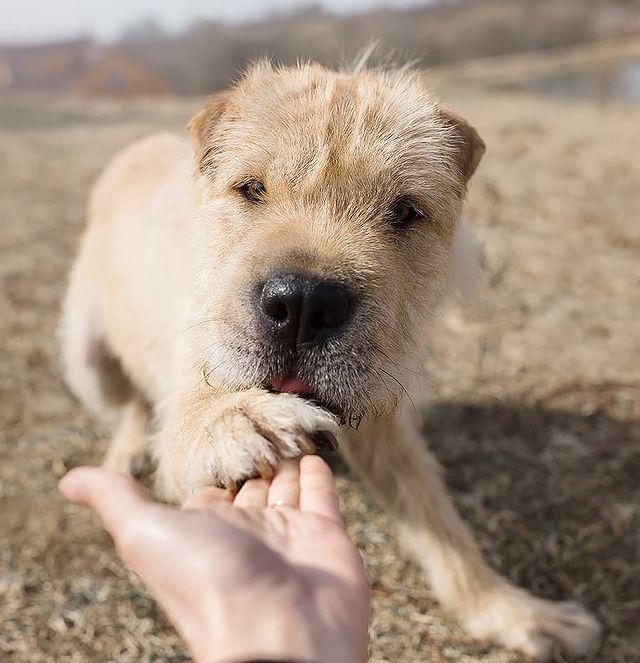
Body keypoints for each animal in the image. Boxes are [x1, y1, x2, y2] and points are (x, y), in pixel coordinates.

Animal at [60, 61, 600, 660]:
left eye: (404, 212)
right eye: (252, 189)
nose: (301, 304)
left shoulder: (384, 420)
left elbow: (440, 523)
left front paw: (513, 612)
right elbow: (188, 426)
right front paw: (239, 420)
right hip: (85, 359)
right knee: (132, 404)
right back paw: (126, 452)